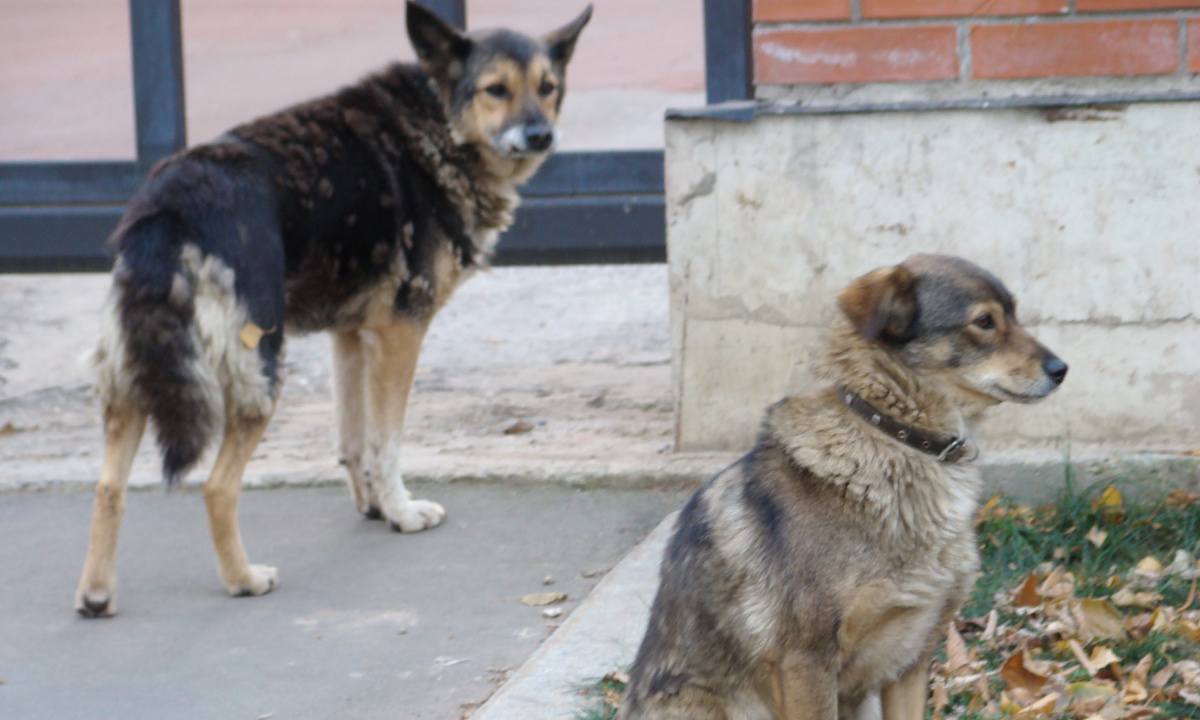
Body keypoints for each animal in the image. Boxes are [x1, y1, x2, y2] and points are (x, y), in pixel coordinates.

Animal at [75, 1, 590, 619]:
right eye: (496, 90)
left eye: (547, 87)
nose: (541, 134)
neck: (435, 123)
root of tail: (168, 207)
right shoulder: (401, 334)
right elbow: (386, 442)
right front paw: (402, 513)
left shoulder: (351, 338)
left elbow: (354, 439)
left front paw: (374, 507)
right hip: (258, 370)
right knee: (218, 487)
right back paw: (244, 579)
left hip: (133, 378)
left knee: (108, 487)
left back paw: (97, 594)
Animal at [619, 256, 1070, 720]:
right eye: (984, 321)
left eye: (1014, 315)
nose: (1061, 370)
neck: (896, 437)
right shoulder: (805, 661)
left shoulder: (910, 658)